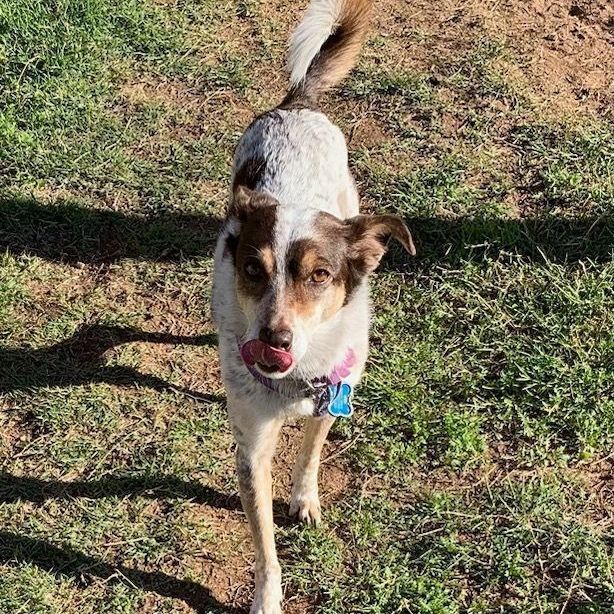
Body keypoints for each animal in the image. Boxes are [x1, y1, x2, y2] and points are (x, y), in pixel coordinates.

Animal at [213, 2, 418, 612]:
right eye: (253, 271)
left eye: (320, 276)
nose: (273, 340)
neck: (299, 377)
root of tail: (298, 104)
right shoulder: (251, 448)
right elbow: (264, 545)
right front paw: (268, 598)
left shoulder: (334, 396)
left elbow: (310, 453)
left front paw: (304, 498)